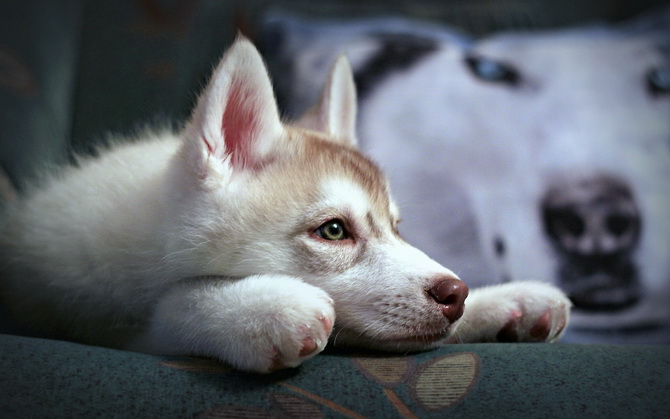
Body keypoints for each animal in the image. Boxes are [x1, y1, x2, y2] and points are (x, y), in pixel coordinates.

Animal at [0, 38, 572, 374]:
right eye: (334, 230)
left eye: (398, 227)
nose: (456, 293)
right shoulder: (82, 314)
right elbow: (170, 309)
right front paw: (258, 310)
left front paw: (502, 301)